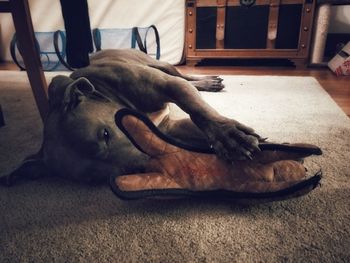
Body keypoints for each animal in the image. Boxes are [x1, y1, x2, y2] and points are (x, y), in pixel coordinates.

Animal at [3, 50, 260, 186]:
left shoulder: (168, 86)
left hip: (161, 65)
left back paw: (208, 82)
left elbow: (198, 109)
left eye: (105, 134)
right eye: (95, 179)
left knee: (184, 76)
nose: (149, 170)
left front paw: (229, 136)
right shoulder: (170, 128)